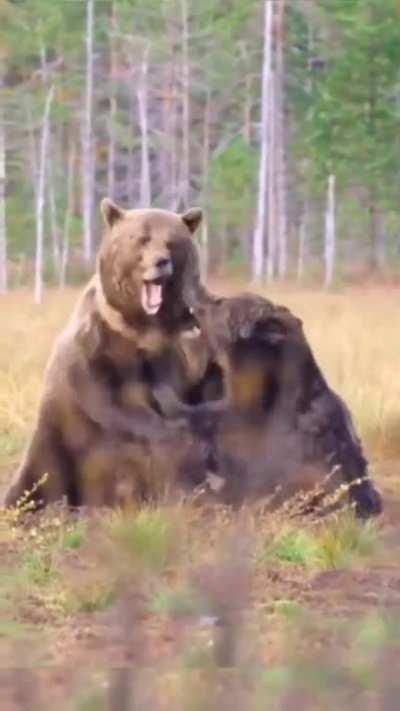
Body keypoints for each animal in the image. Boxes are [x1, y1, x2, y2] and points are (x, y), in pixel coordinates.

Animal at [3, 199, 212, 510]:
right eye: (142, 238)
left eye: (171, 241)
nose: (161, 261)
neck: (146, 326)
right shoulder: (99, 353)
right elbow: (117, 406)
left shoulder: (186, 350)